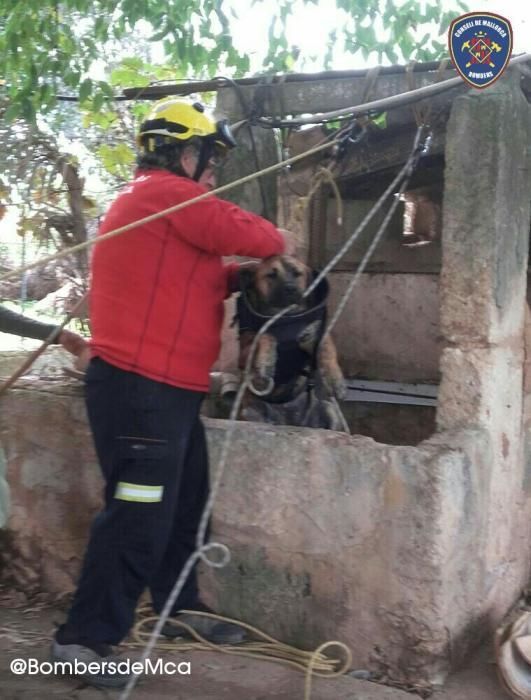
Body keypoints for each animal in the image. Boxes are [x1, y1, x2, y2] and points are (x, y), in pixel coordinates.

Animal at [235, 256, 348, 430]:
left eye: (297, 273)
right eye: (271, 275)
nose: (290, 288)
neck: (285, 317)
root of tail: (291, 423)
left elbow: (325, 343)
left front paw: (335, 379)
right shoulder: (243, 354)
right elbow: (264, 335)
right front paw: (266, 361)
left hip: (328, 409)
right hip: (249, 412)